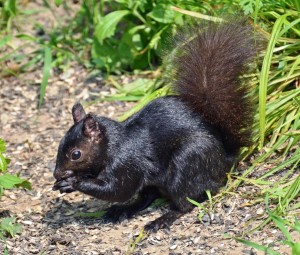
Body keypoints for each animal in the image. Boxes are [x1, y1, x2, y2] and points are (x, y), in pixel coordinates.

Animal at [52, 19, 256, 231]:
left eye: (76, 154)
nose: (57, 173)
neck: (112, 145)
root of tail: (224, 159)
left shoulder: (127, 164)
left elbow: (117, 189)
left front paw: (73, 182)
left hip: (188, 162)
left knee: (185, 202)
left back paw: (161, 219)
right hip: (158, 181)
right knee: (147, 197)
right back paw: (124, 209)